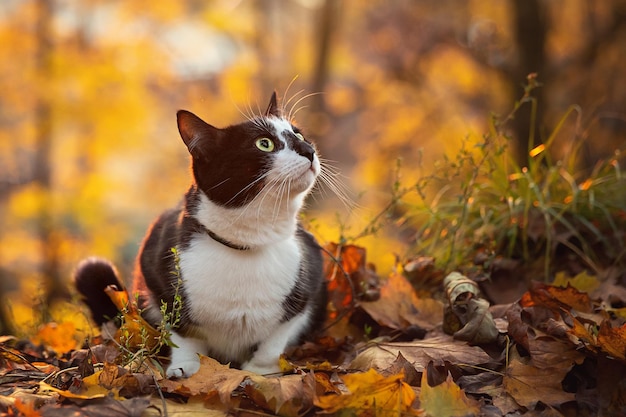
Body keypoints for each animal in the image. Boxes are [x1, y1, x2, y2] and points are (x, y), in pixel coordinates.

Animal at [73, 92, 326, 376]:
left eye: (299, 134)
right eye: (265, 144)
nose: (309, 150)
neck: (246, 244)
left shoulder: (309, 279)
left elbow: (277, 337)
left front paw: (260, 371)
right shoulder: (158, 272)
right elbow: (183, 332)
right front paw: (187, 366)